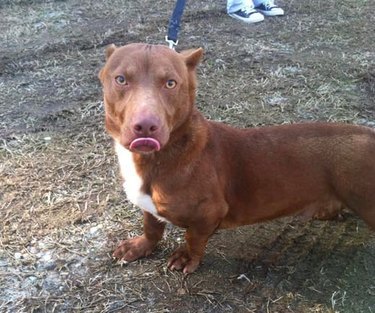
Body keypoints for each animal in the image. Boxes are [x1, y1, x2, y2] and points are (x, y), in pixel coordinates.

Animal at [99, 42, 375, 272]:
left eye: (170, 83)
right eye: (121, 79)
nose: (146, 126)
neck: (159, 157)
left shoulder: (209, 213)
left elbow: (193, 238)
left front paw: (187, 258)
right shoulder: (149, 206)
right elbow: (152, 226)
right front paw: (140, 246)